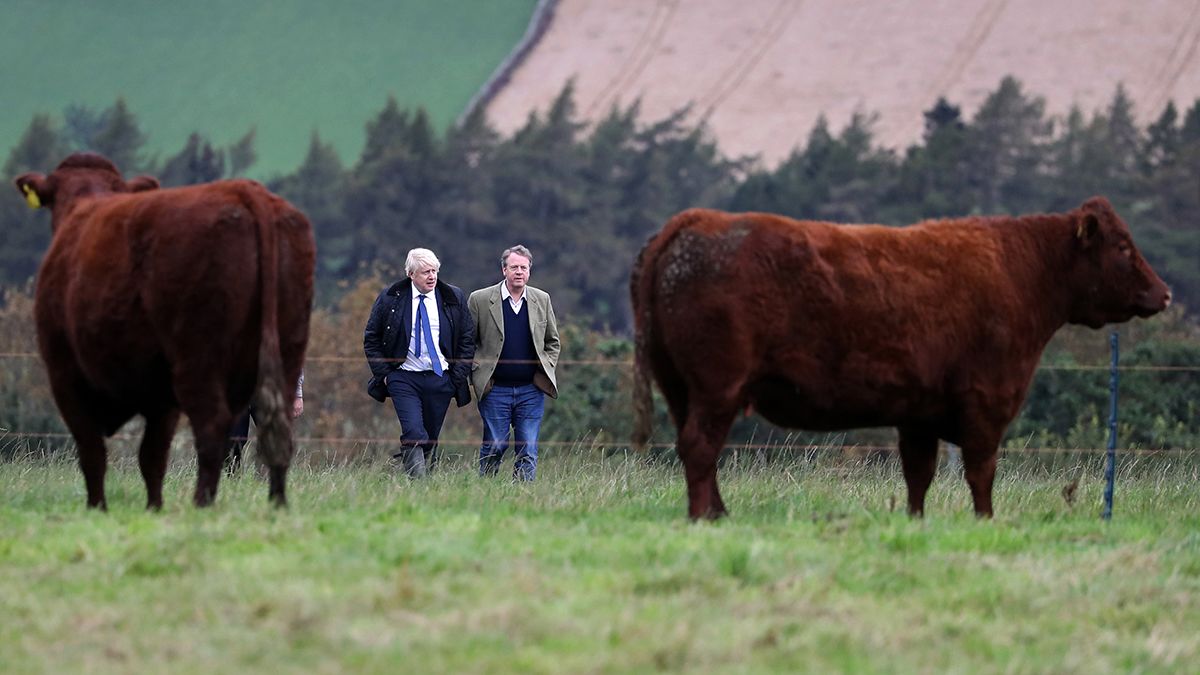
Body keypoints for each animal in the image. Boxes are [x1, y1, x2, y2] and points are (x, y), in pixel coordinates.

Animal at [14, 152, 314, 506]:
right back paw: (276, 505)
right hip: (286, 348)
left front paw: (99, 508)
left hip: (197, 357)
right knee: (276, 430)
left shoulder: (64, 374)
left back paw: (201, 505)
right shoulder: (160, 394)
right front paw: (153, 508)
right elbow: (152, 457)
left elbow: (93, 452)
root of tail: (245, 192)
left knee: (213, 428)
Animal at [633, 196, 1166, 516]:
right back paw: (704, 518)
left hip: (681, 386)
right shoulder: (986, 401)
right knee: (701, 446)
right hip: (717, 386)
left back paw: (718, 513)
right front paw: (986, 521)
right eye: (1123, 246)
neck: (1022, 271)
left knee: (696, 448)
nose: (1164, 293)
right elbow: (981, 470)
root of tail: (697, 219)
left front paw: (915, 522)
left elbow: (919, 474)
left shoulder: (919, 413)